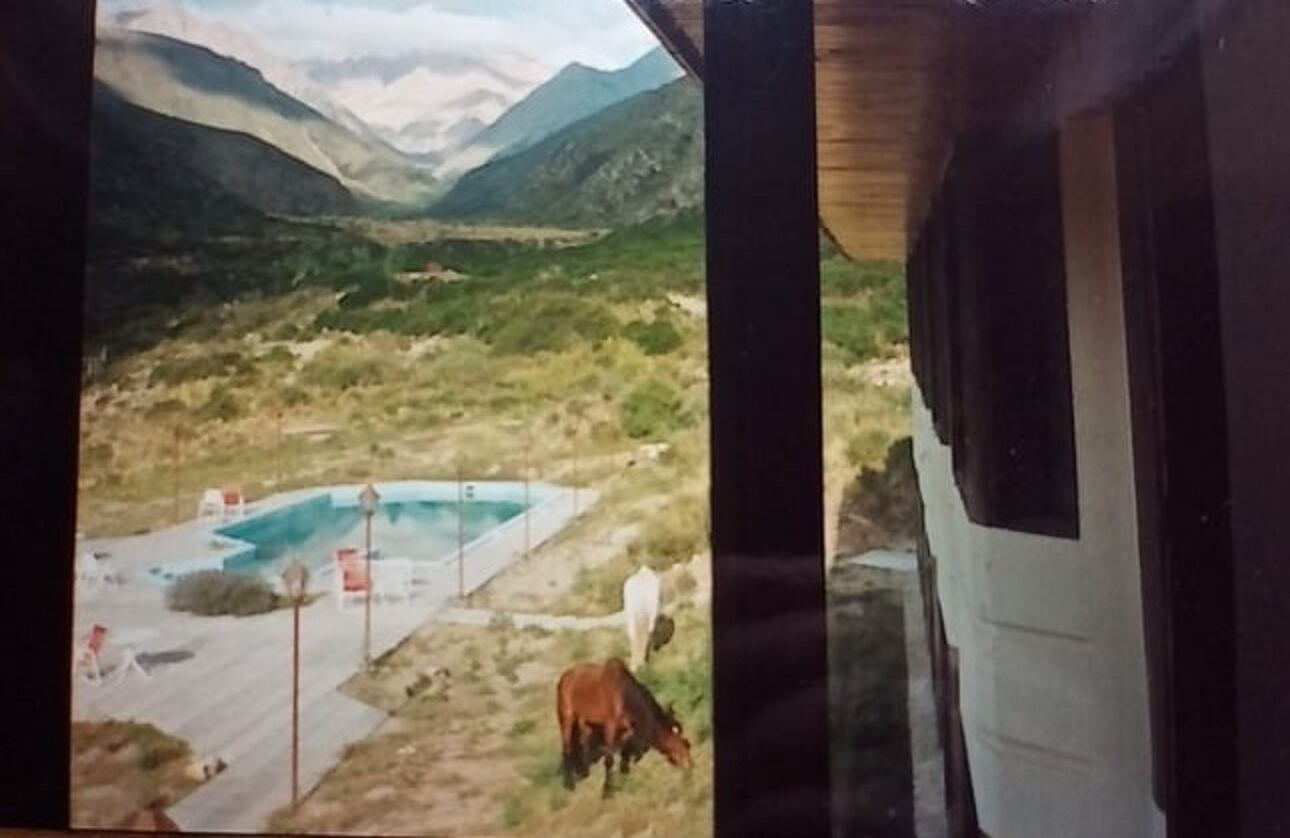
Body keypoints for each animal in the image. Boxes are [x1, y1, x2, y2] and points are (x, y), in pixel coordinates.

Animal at [557, 654, 691, 794]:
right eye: (681, 743)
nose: (689, 764)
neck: (623, 694)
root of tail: (564, 677)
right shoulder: (610, 727)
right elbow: (609, 759)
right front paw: (607, 789)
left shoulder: (627, 729)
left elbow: (625, 751)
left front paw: (624, 771)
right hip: (566, 718)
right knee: (566, 748)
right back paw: (569, 783)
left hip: (585, 721)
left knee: (583, 742)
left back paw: (584, 771)